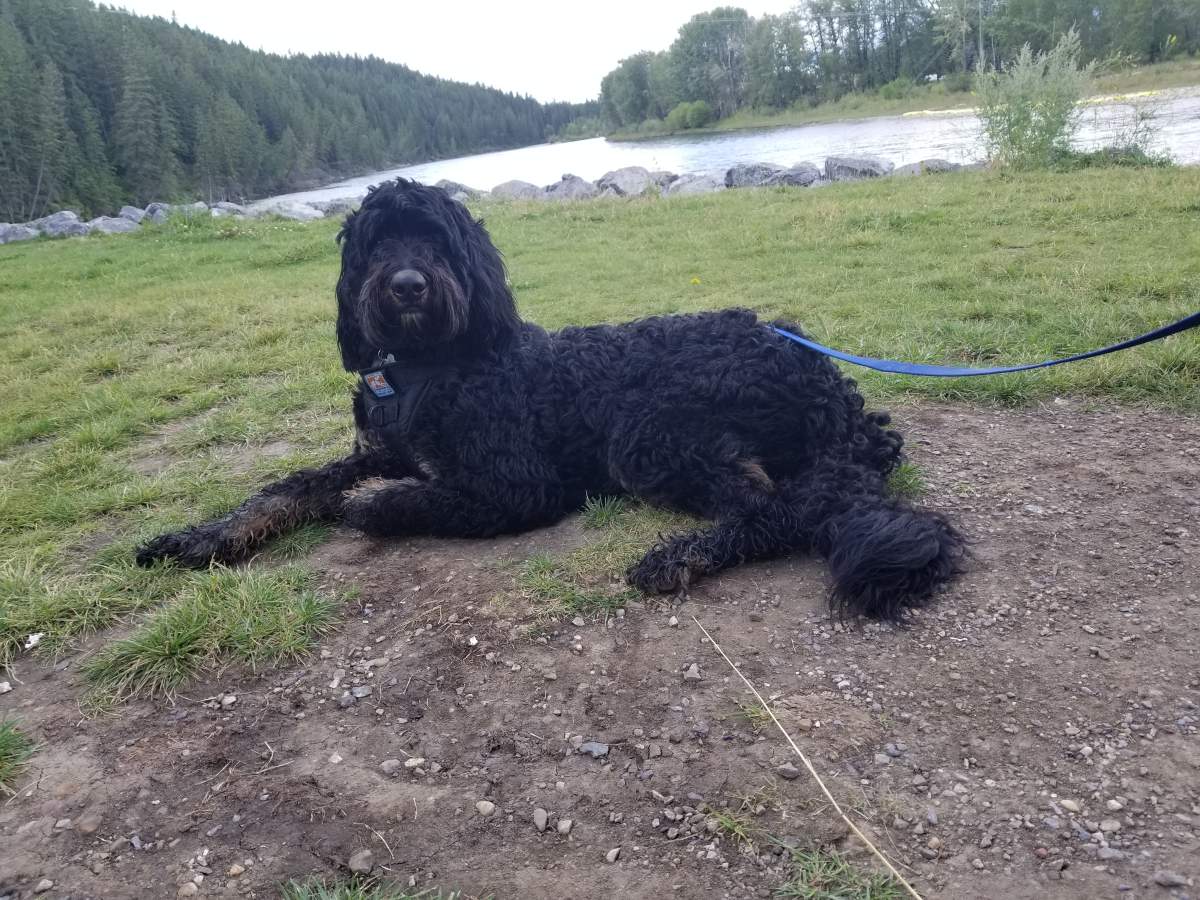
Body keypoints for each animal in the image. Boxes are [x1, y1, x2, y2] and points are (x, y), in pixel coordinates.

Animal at [137, 178, 963, 619]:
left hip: (646, 432)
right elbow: (283, 490)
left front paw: (372, 504)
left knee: (771, 510)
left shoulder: (518, 484)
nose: (406, 285)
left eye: (436, 241)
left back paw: (681, 554)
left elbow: (411, 499)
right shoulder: (373, 449)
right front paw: (200, 538)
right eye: (376, 244)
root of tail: (827, 382)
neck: (432, 368)